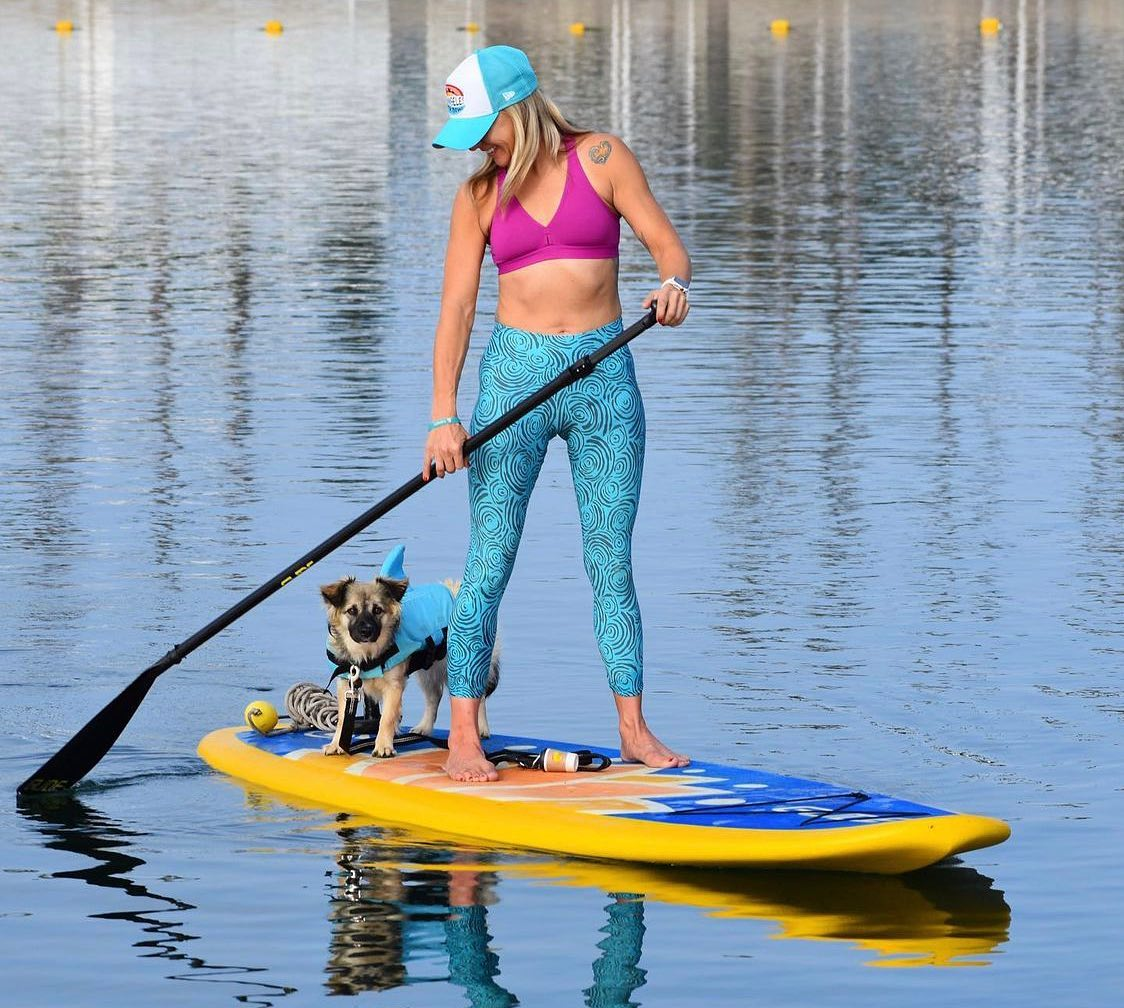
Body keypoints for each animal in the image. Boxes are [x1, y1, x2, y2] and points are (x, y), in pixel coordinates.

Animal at [323, 566, 503, 755]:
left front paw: (383, 746)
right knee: (434, 697)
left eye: (378, 610)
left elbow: (387, 718)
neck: (367, 655)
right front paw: (337, 744)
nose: (366, 631)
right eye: (352, 610)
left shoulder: (394, 686)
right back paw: (424, 727)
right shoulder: (347, 685)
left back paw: (481, 727)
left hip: (461, 663)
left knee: (478, 697)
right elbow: (343, 718)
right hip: (428, 670)